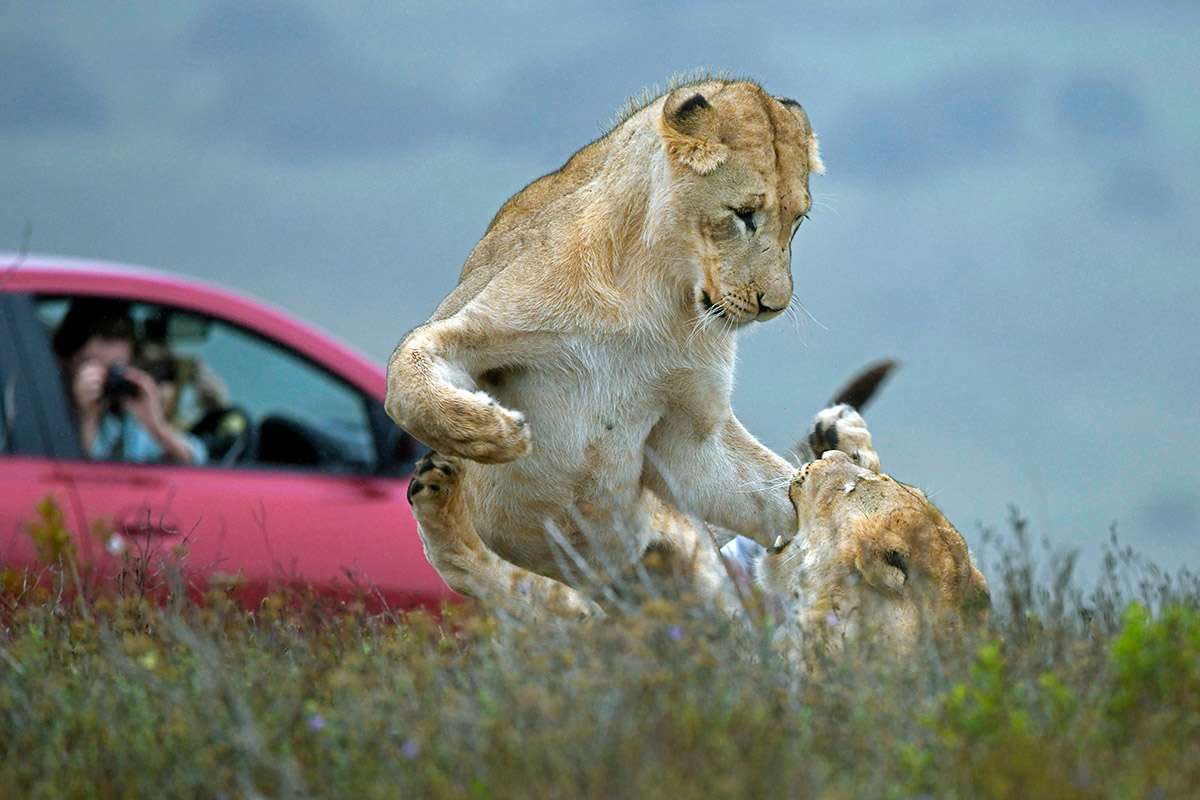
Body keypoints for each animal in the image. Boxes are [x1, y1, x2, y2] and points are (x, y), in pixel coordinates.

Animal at [386, 77, 823, 615]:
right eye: (744, 215)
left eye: (797, 221)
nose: (773, 306)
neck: (653, 293)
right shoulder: (470, 323)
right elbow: (407, 380)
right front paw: (497, 434)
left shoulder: (689, 429)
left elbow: (766, 490)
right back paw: (438, 487)